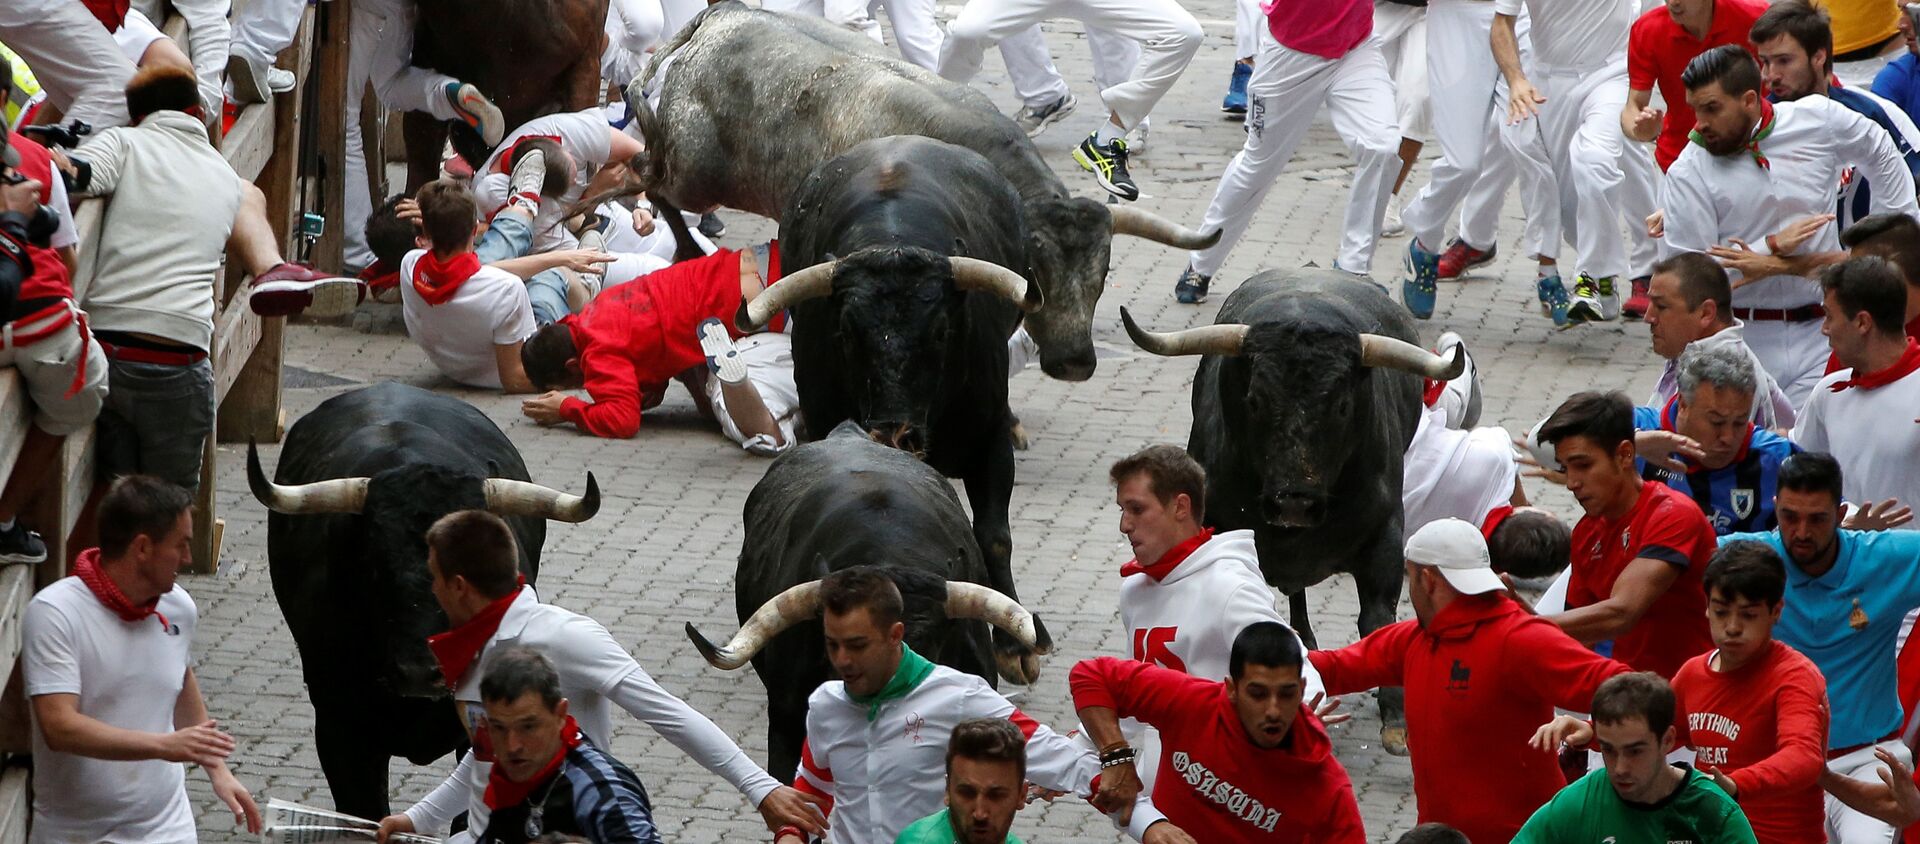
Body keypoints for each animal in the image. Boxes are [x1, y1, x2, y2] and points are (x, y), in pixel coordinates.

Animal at [622, 1, 1213, 379]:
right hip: (692, 173)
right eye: (1036, 275)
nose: (1074, 363)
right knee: (643, 177)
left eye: (1103, 273)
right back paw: (678, 242)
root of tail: (723, 15)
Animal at [741, 135, 1059, 682]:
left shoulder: (990, 436)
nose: (893, 435)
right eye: (846, 332)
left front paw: (1015, 647)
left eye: (942, 331)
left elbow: (994, 534)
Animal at [1121, 268, 1459, 751]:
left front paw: (1395, 719)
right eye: (1255, 400)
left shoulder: (1386, 538)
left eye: (1341, 404)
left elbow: (1377, 621)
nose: (1293, 501)